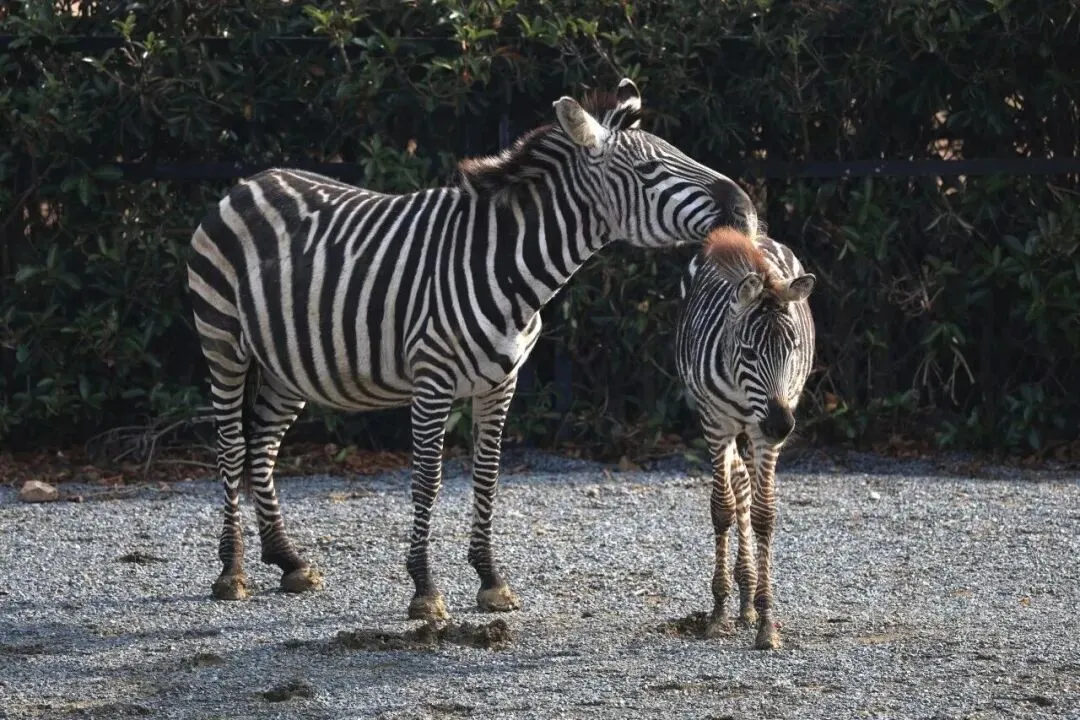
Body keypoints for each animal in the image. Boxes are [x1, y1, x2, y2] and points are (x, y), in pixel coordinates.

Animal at [186, 77, 759, 622]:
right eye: (646, 168)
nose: (745, 209)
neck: (507, 266)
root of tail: (250, 181)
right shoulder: (431, 381)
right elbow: (428, 480)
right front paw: (424, 590)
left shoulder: (501, 382)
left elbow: (487, 476)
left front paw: (490, 580)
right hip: (222, 340)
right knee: (232, 446)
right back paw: (232, 572)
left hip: (287, 364)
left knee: (263, 444)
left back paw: (287, 560)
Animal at [674, 226, 816, 650]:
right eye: (749, 351)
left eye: (793, 348)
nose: (782, 426)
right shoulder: (715, 423)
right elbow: (722, 508)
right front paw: (719, 611)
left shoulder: (763, 431)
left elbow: (764, 514)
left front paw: (766, 620)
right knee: (738, 484)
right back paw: (740, 595)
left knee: (748, 486)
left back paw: (749, 600)